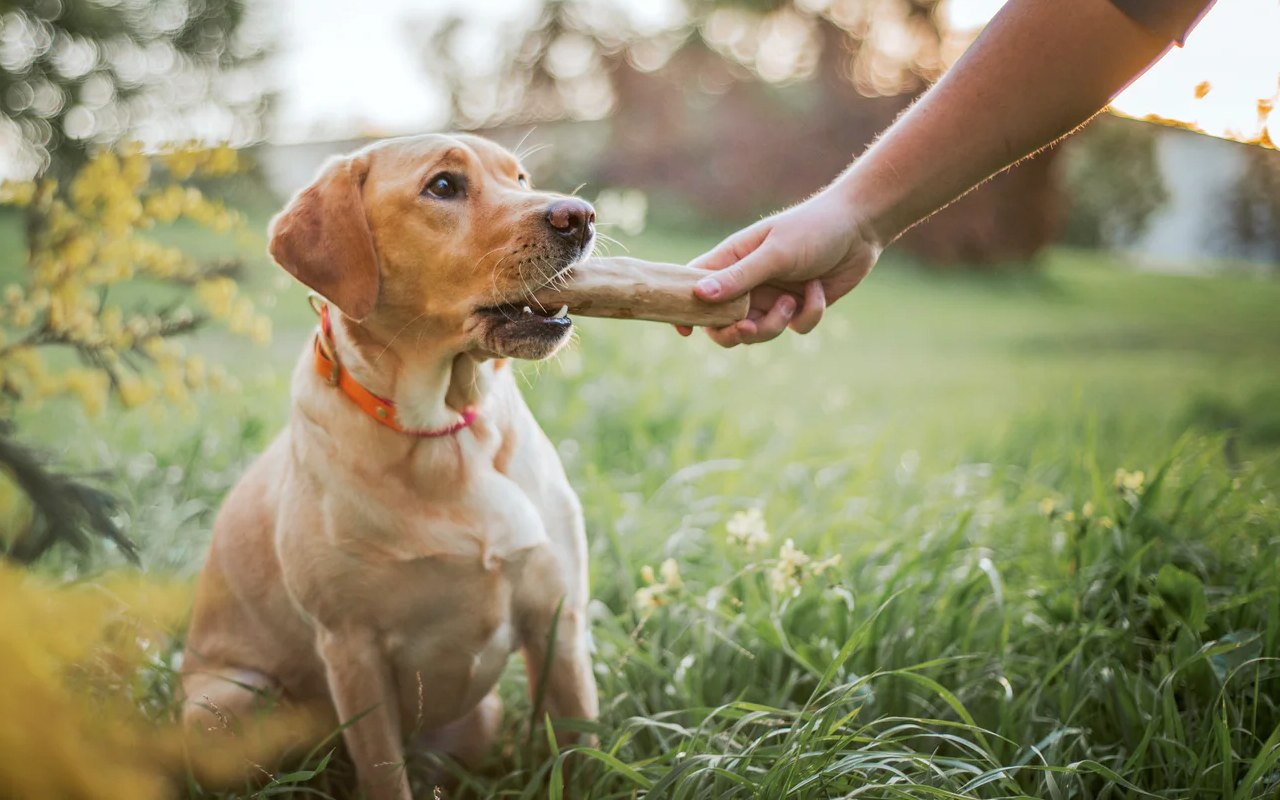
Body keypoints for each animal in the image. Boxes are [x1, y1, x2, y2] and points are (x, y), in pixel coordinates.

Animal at [181, 134, 599, 793]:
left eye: (521, 178)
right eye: (444, 186)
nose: (579, 216)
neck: (443, 429)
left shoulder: (559, 621)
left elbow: (585, 748)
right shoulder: (354, 651)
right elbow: (382, 774)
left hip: (482, 716)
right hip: (224, 702)